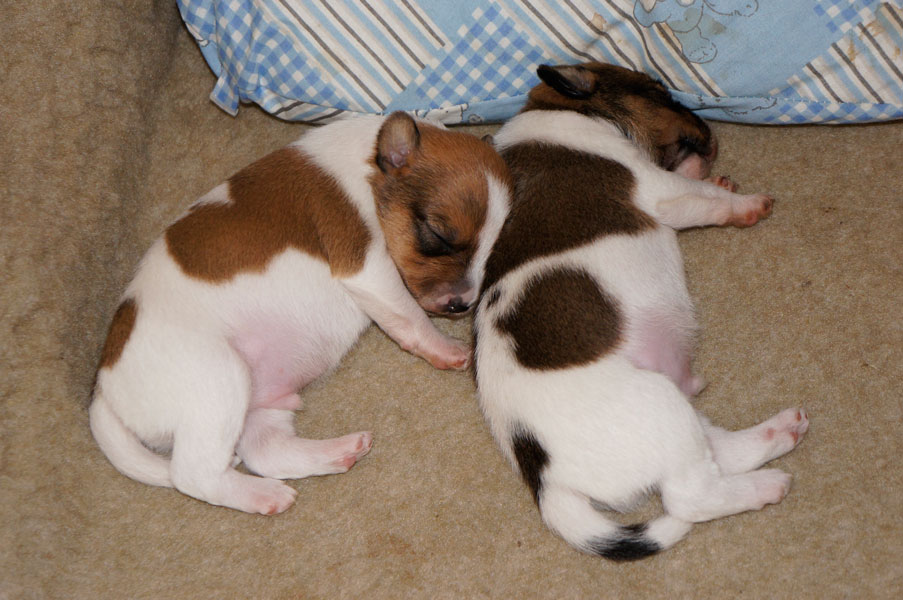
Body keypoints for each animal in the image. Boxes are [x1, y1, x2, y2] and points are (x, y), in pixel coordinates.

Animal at [90, 112, 510, 514]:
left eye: (492, 249)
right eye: (437, 237)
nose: (461, 305)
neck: (368, 169)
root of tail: (103, 392)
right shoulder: (368, 268)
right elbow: (410, 316)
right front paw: (447, 349)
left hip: (261, 398)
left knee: (266, 451)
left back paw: (335, 453)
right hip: (218, 379)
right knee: (195, 475)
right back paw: (263, 494)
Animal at [473, 63, 808, 560]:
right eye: (661, 92)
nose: (711, 131)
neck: (569, 110)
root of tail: (544, 476)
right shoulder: (662, 189)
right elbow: (705, 198)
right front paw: (747, 204)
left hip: (675, 412)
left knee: (722, 453)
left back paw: (779, 433)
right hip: (661, 407)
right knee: (692, 498)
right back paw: (767, 485)